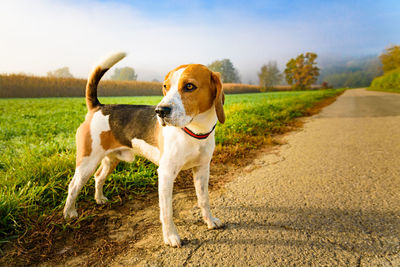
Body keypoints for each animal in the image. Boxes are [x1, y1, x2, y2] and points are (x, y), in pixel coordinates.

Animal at [63, 52, 225, 249]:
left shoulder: (202, 169)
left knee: (99, 176)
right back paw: (69, 213)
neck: (194, 131)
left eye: (189, 86)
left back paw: (99, 198)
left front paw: (209, 221)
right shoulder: (166, 174)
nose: (160, 111)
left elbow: (204, 199)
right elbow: (167, 211)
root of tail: (99, 107)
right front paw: (171, 236)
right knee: (73, 186)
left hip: (111, 160)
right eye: (165, 86)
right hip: (87, 162)